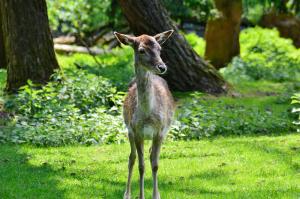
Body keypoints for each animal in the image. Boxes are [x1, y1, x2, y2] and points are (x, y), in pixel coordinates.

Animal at [115, 29, 176, 199]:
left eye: (160, 49)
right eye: (141, 50)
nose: (162, 67)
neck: (148, 115)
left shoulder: (160, 131)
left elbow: (155, 165)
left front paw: (156, 195)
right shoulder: (136, 131)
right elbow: (141, 166)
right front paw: (141, 196)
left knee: (150, 156)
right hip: (128, 131)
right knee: (132, 158)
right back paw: (127, 193)